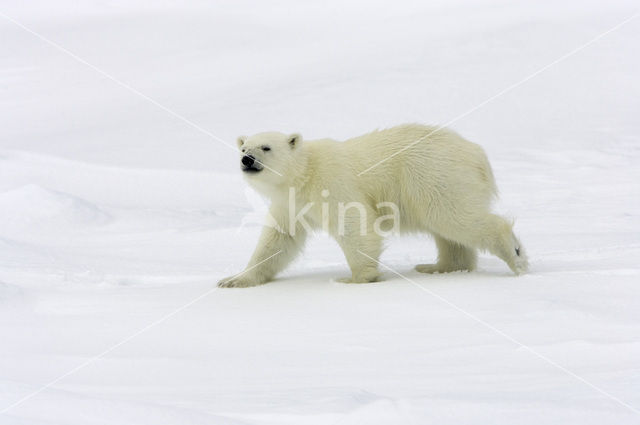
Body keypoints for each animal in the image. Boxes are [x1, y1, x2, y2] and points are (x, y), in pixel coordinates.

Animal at [218, 122, 528, 288]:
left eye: (266, 147)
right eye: (244, 147)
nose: (247, 159)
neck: (304, 173)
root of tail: (478, 155)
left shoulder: (332, 183)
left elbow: (353, 223)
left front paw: (355, 279)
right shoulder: (290, 203)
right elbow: (279, 240)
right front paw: (233, 280)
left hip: (433, 175)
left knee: (454, 217)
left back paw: (515, 256)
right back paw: (438, 267)